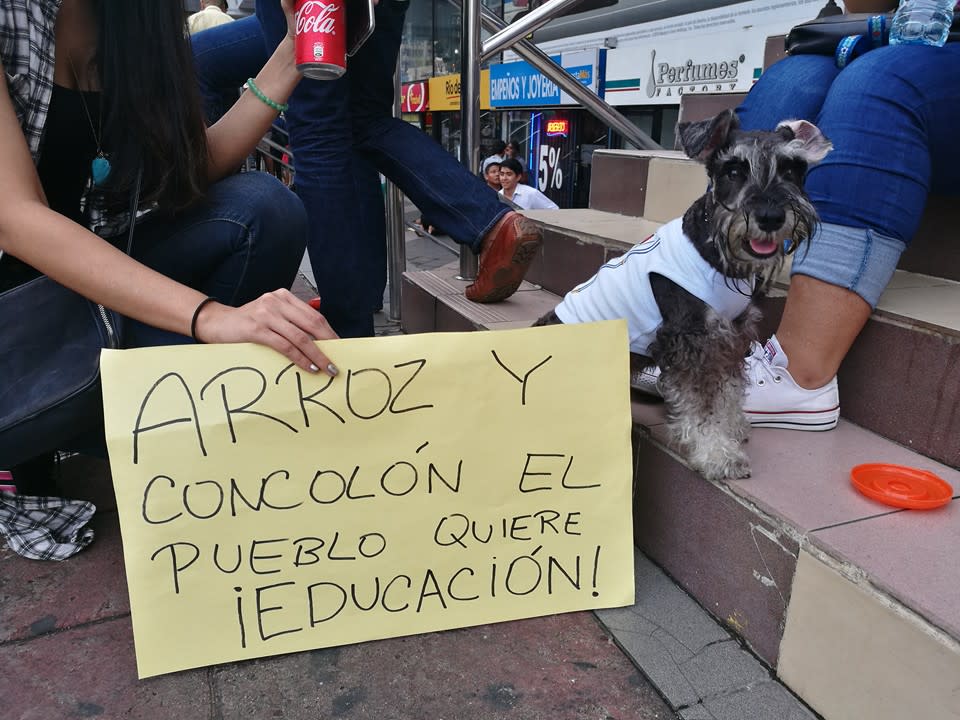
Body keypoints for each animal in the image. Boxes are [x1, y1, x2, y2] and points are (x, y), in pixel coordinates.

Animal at [536, 109, 828, 480]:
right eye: (733, 171)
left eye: (791, 168)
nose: (770, 217)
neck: (715, 255)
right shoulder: (689, 340)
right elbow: (702, 405)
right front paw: (717, 454)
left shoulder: (731, 336)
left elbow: (729, 391)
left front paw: (732, 429)